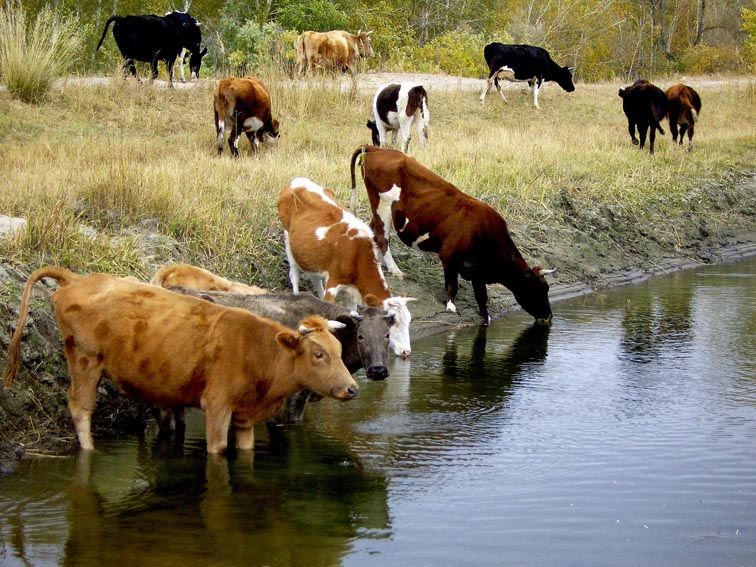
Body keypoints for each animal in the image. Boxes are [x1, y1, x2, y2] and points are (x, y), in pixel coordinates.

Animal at [2, 268, 358, 458]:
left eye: (340, 349)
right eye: (318, 354)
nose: (353, 389)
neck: (255, 346)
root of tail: (77, 277)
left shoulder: (245, 418)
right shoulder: (216, 406)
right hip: (86, 361)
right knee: (80, 408)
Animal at [278, 176, 414, 360]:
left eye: (409, 320)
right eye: (394, 322)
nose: (407, 351)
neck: (358, 254)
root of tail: (297, 181)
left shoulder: (352, 292)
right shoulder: (333, 283)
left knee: (315, 278)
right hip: (288, 241)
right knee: (294, 275)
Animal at [350, 144, 556, 326]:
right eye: (538, 289)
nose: (549, 316)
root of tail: (380, 149)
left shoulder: (478, 271)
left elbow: (482, 298)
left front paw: (486, 318)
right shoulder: (449, 256)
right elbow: (452, 284)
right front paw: (451, 306)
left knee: (373, 233)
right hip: (382, 205)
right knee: (382, 237)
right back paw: (396, 271)